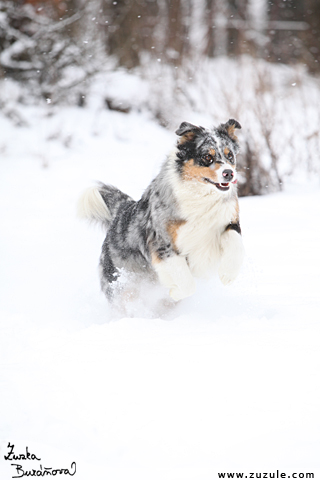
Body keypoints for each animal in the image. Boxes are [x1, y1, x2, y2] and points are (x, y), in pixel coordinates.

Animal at [79, 118, 245, 302]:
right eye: (207, 157)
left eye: (230, 155)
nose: (229, 173)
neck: (200, 196)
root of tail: (122, 210)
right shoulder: (162, 243)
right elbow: (187, 283)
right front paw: (175, 292)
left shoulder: (227, 221)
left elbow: (236, 243)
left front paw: (228, 274)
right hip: (121, 285)